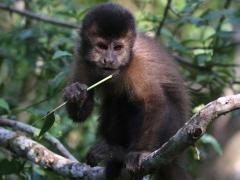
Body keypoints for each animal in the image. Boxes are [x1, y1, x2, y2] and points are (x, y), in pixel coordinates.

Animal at [63, 3, 191, 180]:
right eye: (102, 47)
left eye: (118, 48)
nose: (109, 60)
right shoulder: (81, 58)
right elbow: (80, 115)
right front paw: (75, 94)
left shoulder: (138, 64)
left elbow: (154, 102)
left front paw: (139, 152)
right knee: (115, 102)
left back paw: (118, 154)